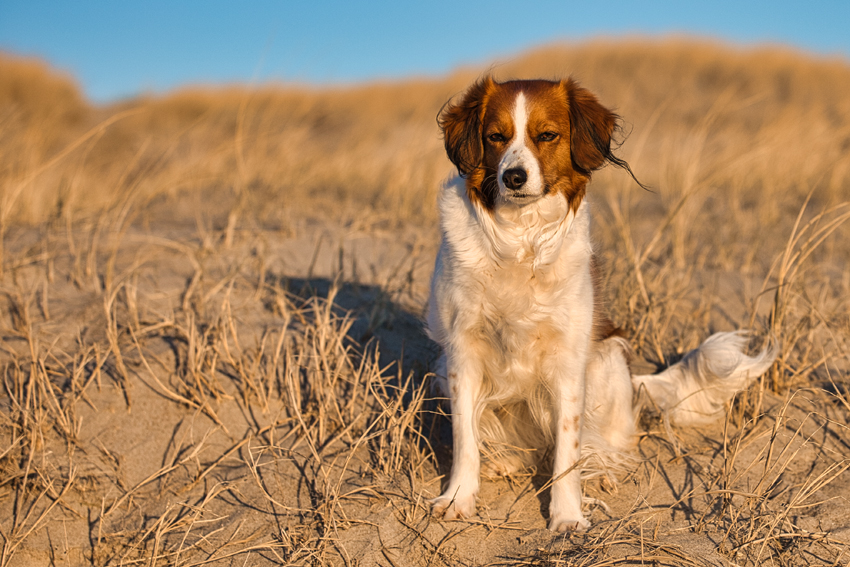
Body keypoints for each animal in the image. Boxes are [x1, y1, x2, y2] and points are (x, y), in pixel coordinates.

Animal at [424, 77, 776, 536]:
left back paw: (603, 468)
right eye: (495, 137)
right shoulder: (461, 352)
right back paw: (502, 461)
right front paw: (459, 498)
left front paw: (567, 515)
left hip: (607, 361)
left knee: (607, 441)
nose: (514, 177)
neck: (520, 240)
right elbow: (465, 436)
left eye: (547, 135)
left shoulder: (569, 359)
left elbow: (568, 448)